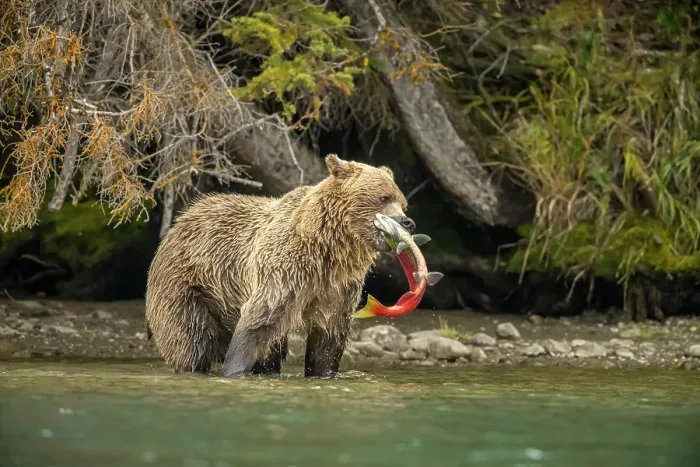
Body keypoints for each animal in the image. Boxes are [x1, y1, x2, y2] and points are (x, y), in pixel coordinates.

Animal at [144, 154, 416, 378]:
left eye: (402, 203)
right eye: (383, 197)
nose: (407, 222)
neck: (327, 247)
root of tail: (179, 222)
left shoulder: (337, 285)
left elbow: (328, 336)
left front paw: (324, 371)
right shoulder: (284, 269)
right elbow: (259, 320)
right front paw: (233, 370)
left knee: (271, 351)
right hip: (189, 286)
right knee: (191, 341)